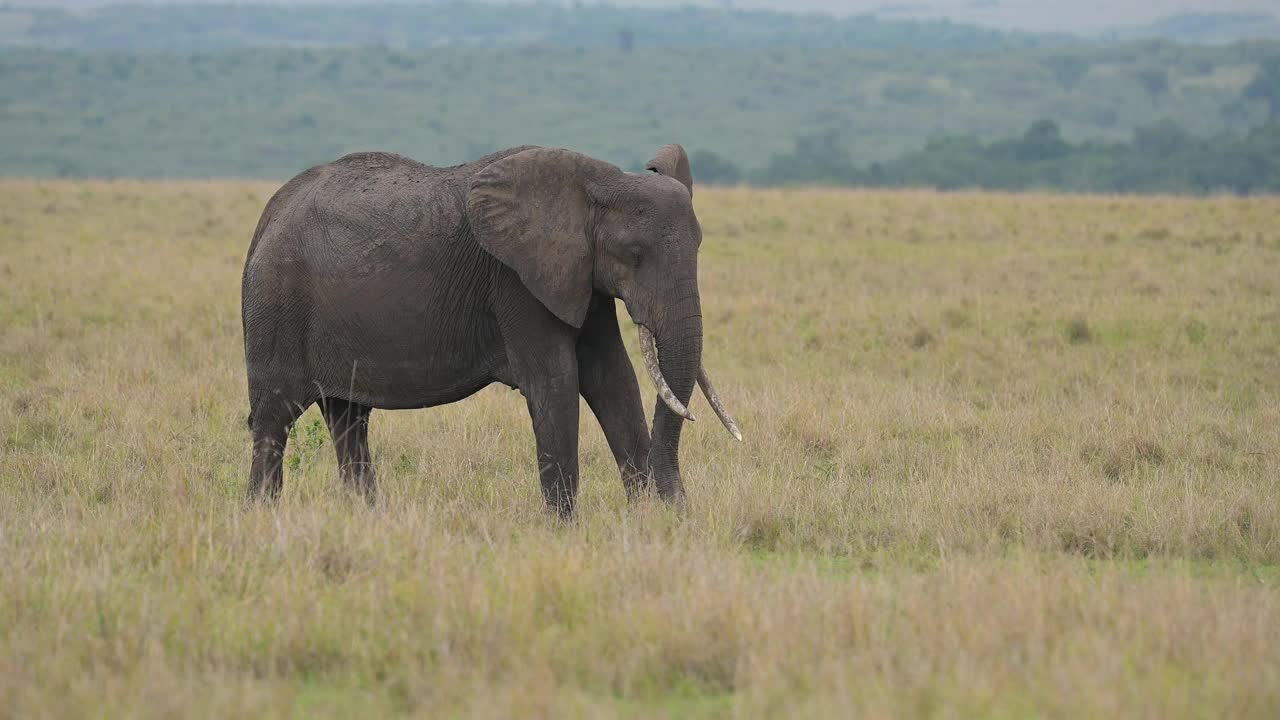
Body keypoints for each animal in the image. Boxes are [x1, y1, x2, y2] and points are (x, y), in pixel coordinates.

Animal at [241, 142, 742, 512]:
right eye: (634, 254)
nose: (679, 509)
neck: (602, 181)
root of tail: (268, 214)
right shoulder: (515, 281)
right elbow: (556, 384)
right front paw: (565, 532)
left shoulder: (580, 277)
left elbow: (612, 379)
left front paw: (651, 523)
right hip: (276, 304)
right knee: (275, 418)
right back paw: (262, 517)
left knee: (348, 419)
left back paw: (366, 518)